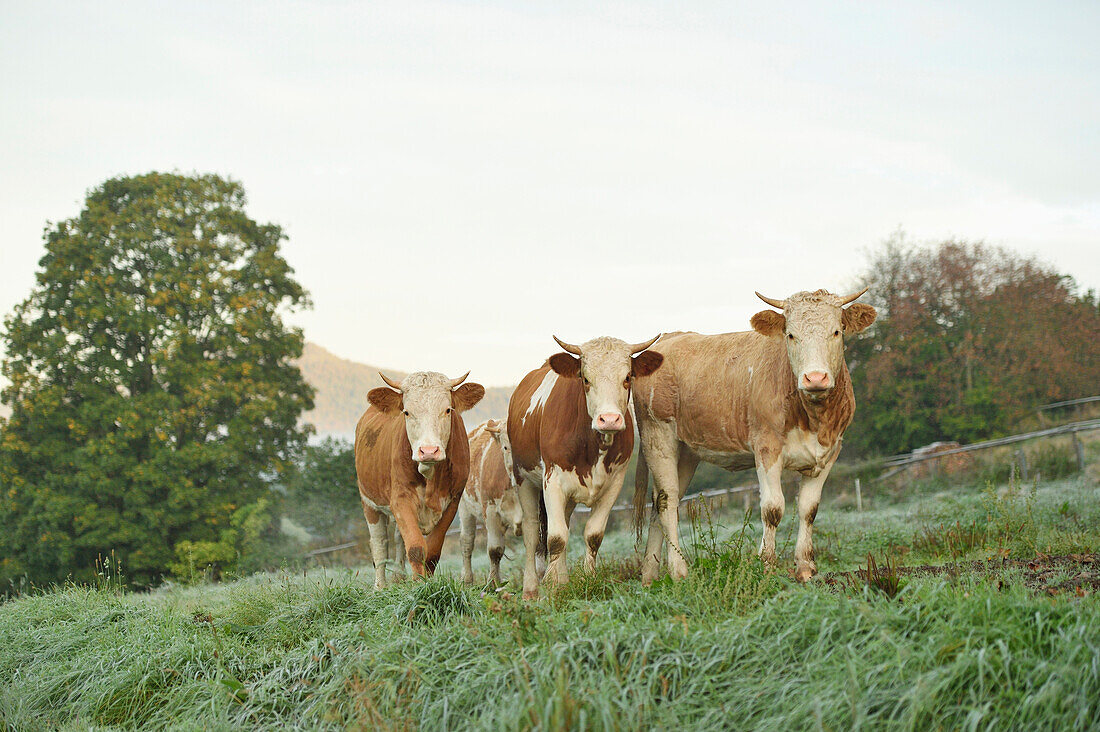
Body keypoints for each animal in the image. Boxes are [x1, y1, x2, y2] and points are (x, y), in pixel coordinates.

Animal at [356, 372, 486, 590]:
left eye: (447, 410)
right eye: (407, 412)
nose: (428, 451)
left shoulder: (452, 501)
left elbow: (432, 551)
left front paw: (428, 584)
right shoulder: (400, 499)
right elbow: (416, 548)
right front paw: (419, 587)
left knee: (398, 539)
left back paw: (398, 577)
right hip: (369, 502)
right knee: (380, 544)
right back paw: (380, 586)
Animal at [455, 420, 523, 585]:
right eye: (505, 447)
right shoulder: (491, 510)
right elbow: (495, 550)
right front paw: (494, 583)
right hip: (465, 509)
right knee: (467, 541)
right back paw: (467, 579)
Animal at [506, 334, 660, 598]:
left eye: (627, 377)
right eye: (586, 379)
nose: (609, 419)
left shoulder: (614, 484)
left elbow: (592, 535)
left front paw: (587, 579)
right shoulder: (552, 482)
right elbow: (556, 538)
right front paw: (551, 587)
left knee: (564, 524)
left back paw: (562, 578)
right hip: (523, 479)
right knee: (532, 532)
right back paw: (531, 588)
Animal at [633, 288, 880, 581]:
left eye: (836, 332)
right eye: (791, 335)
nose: (815, 378)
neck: (813, 418)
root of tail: (667, 339)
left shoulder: (829, 452)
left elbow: (809, 509)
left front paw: (805, 568)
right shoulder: (766, 448)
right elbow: (773, 508)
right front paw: (767, 565)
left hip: (687, 451)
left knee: (658, 501)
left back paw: (649, 574)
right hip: (657, 436)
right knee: (668, 501)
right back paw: (678, 570)